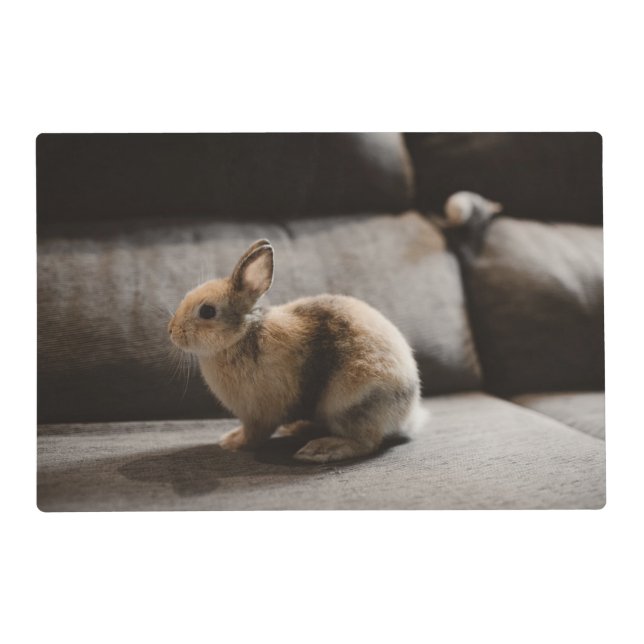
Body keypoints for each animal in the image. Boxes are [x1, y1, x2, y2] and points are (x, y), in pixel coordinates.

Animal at [168, 239, 426, 463]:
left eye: (207, 311)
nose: (171, 331)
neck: (243, 335)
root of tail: (409, 412)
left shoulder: (259, 414)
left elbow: (254, 435)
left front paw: (232, 443)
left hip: (349, 403)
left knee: (367, 442)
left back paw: (320, 449)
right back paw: (300, 428)